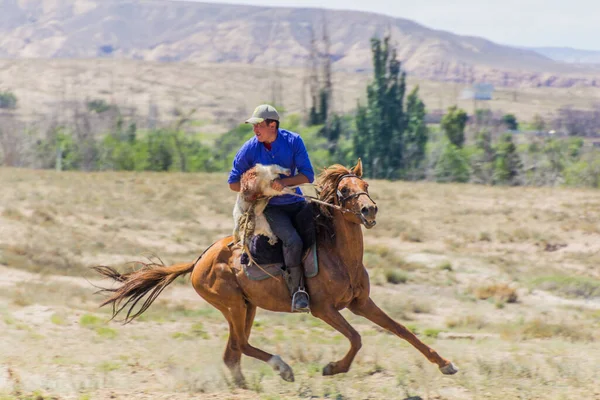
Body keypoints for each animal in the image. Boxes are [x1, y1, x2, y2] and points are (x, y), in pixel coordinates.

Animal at [96, 159, 458, 384]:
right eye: (344, 191)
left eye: (366, 183)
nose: (369, 210)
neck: (341, 256)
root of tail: (199, 261)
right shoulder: (323, 309)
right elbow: (356, 338)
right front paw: (332, 368)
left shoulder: (361, 303)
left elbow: (402, 330)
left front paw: (445, 364)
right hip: (233, 306)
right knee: (240, 346)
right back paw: (282, 368)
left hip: (247, 307)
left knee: (233, 352)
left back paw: (246, 383)